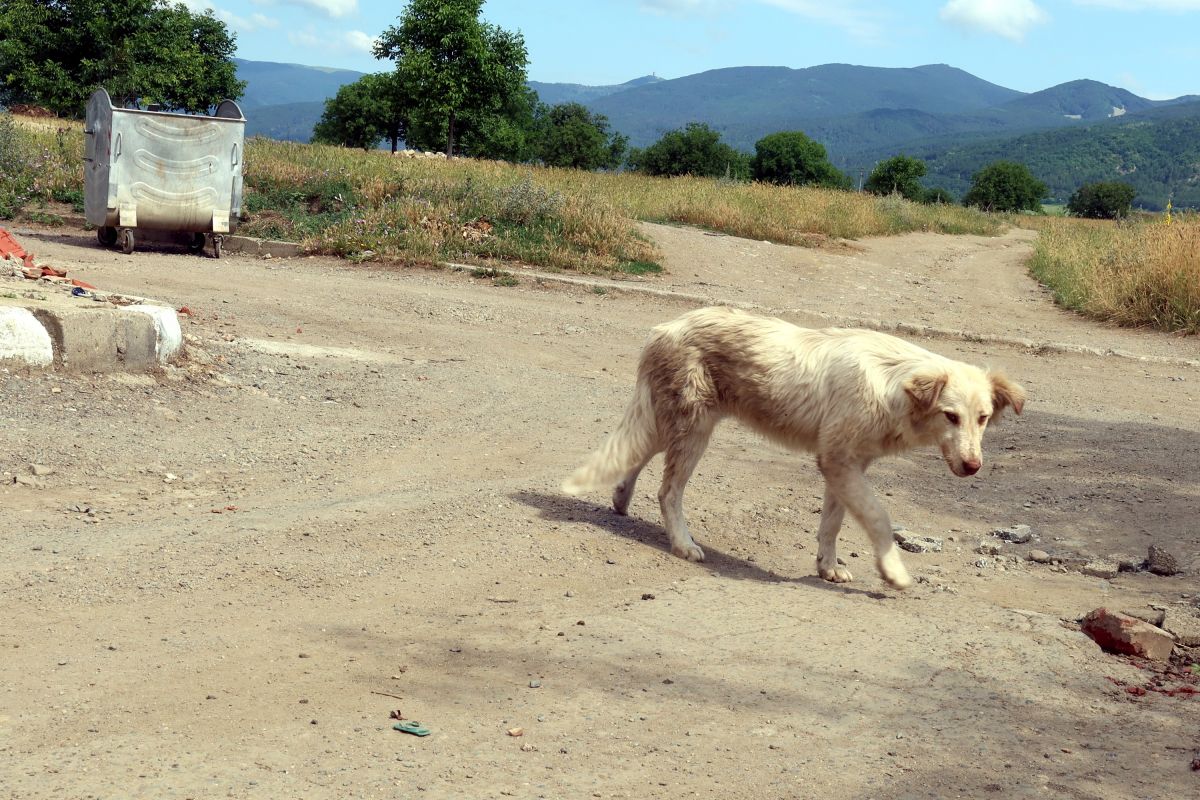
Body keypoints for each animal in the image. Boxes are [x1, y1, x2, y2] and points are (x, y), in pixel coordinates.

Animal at [561, 307, 1022, 587]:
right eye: (950, 416)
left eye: (983, 418)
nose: (973, 466)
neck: (892, 386)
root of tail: (665, 328)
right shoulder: (838, 462)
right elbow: (879, 518)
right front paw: (893, 572)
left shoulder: (846, 466)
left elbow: (831, 525)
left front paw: (828, 568)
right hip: (693, 431)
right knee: (667, 491)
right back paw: (683, 544)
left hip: (673, 424)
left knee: (634, 457)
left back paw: (621, 501)